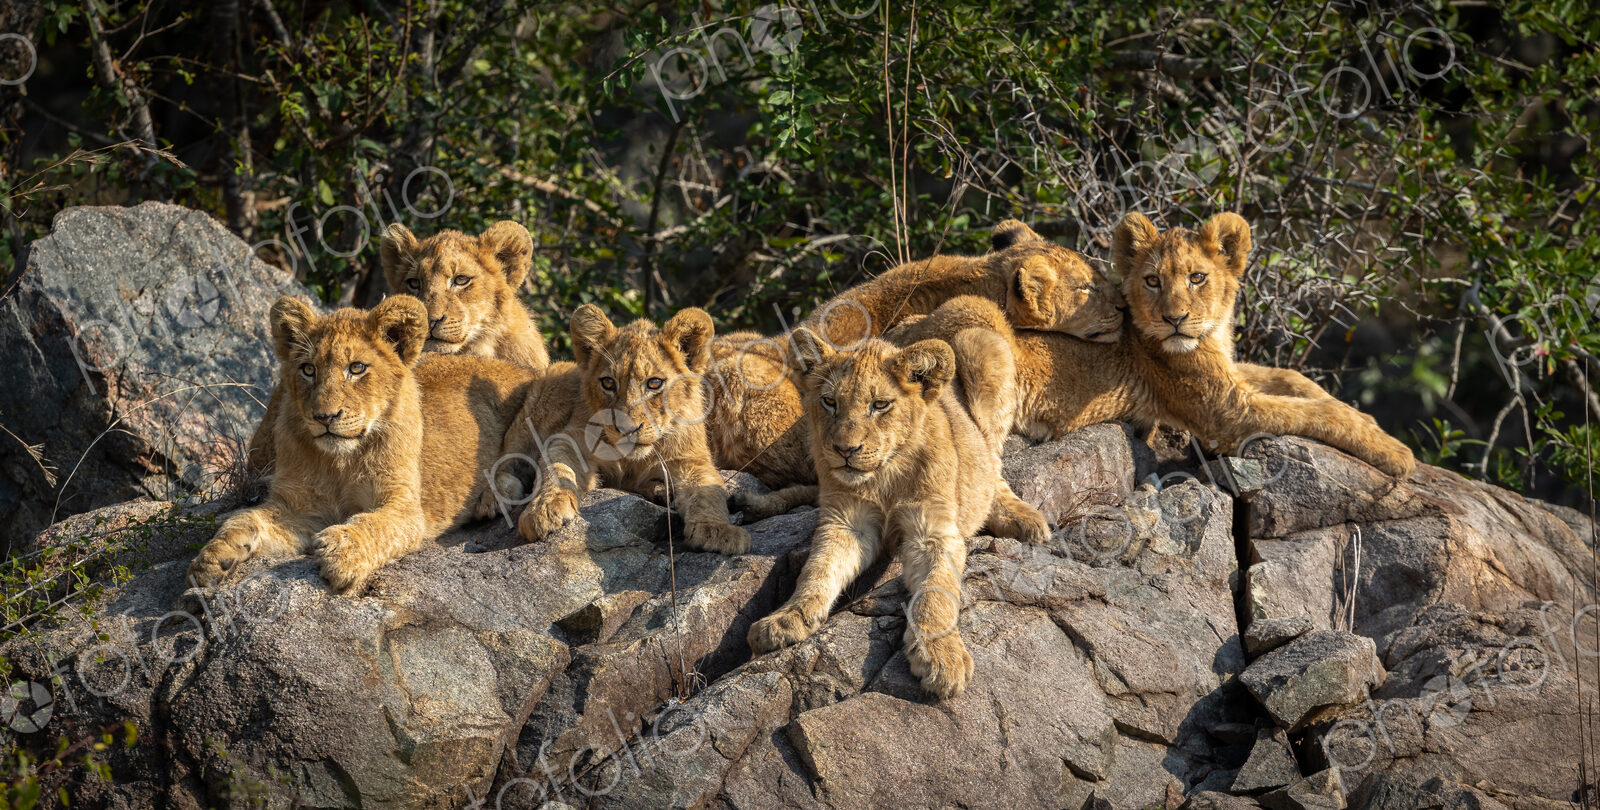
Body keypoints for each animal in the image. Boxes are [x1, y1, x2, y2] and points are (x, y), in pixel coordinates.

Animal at [191, 295, 559, 594]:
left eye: (356, 368)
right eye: (308, 369)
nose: (325, 417)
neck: (339, 462)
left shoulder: (405, 508)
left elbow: (376, 526)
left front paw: (342, 551)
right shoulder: (299, 508)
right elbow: (244, 520)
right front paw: (211, 559)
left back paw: (492, 498)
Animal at [509, 305, 751, 555]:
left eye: (654, 383)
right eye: (608, 383)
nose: (627, 429)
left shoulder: (691, 458)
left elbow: (708, 492)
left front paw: (717, 530)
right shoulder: (571, 438)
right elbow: (556, 468)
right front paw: (543, 509)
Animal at [746, 325, 1050, 700]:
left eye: (880, 405)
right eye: (830, 402)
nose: (845, 450)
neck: (884, 476)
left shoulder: (933, 532)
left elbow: (936, 593)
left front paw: (942, 657)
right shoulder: (847, 523)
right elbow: (817, 571)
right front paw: (786, 618)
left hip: (981, 342)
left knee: (992, 463)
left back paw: (1024, 519)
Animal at [887, 213, 1414, 478]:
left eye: (1198, 278)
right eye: (1153, 280)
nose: (1175, 319)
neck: (1209, 334)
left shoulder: (1228, 372)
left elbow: (1292, 377)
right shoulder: (1228, 412)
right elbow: (1319, 415)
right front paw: (1394, 450)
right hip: (976, 322)